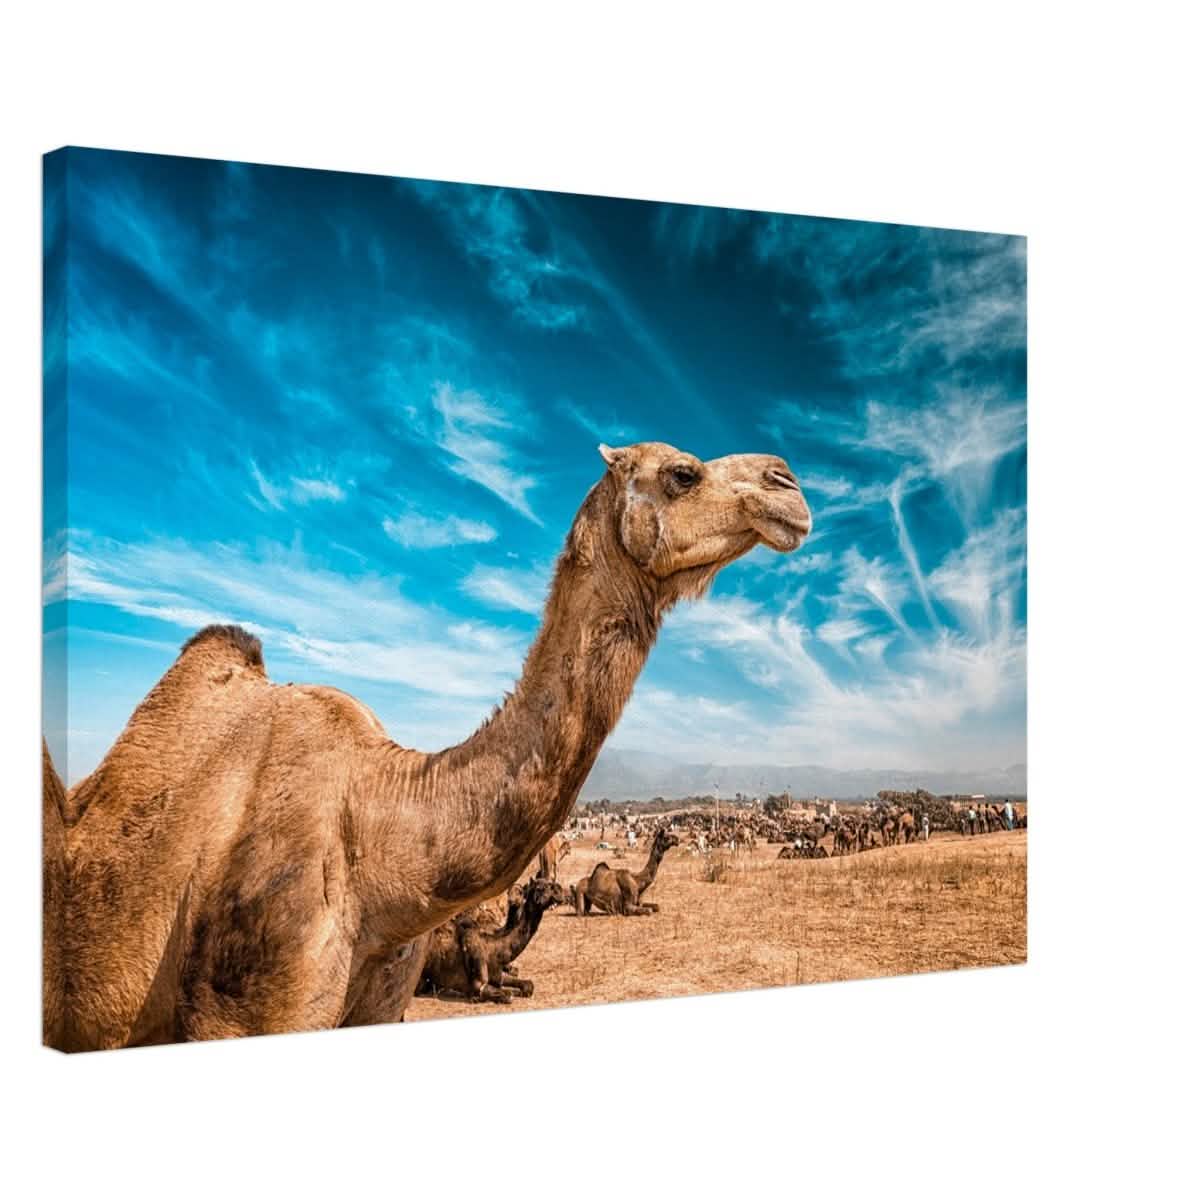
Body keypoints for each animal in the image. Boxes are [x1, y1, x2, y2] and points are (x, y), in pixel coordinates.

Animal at [419, 877, 565, 1003]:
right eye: (541, 888)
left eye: (552, 884)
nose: (560, 892)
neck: (496, 947)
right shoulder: (478, 982)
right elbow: (506, 994)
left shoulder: (497, 974)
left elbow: (528, 985)